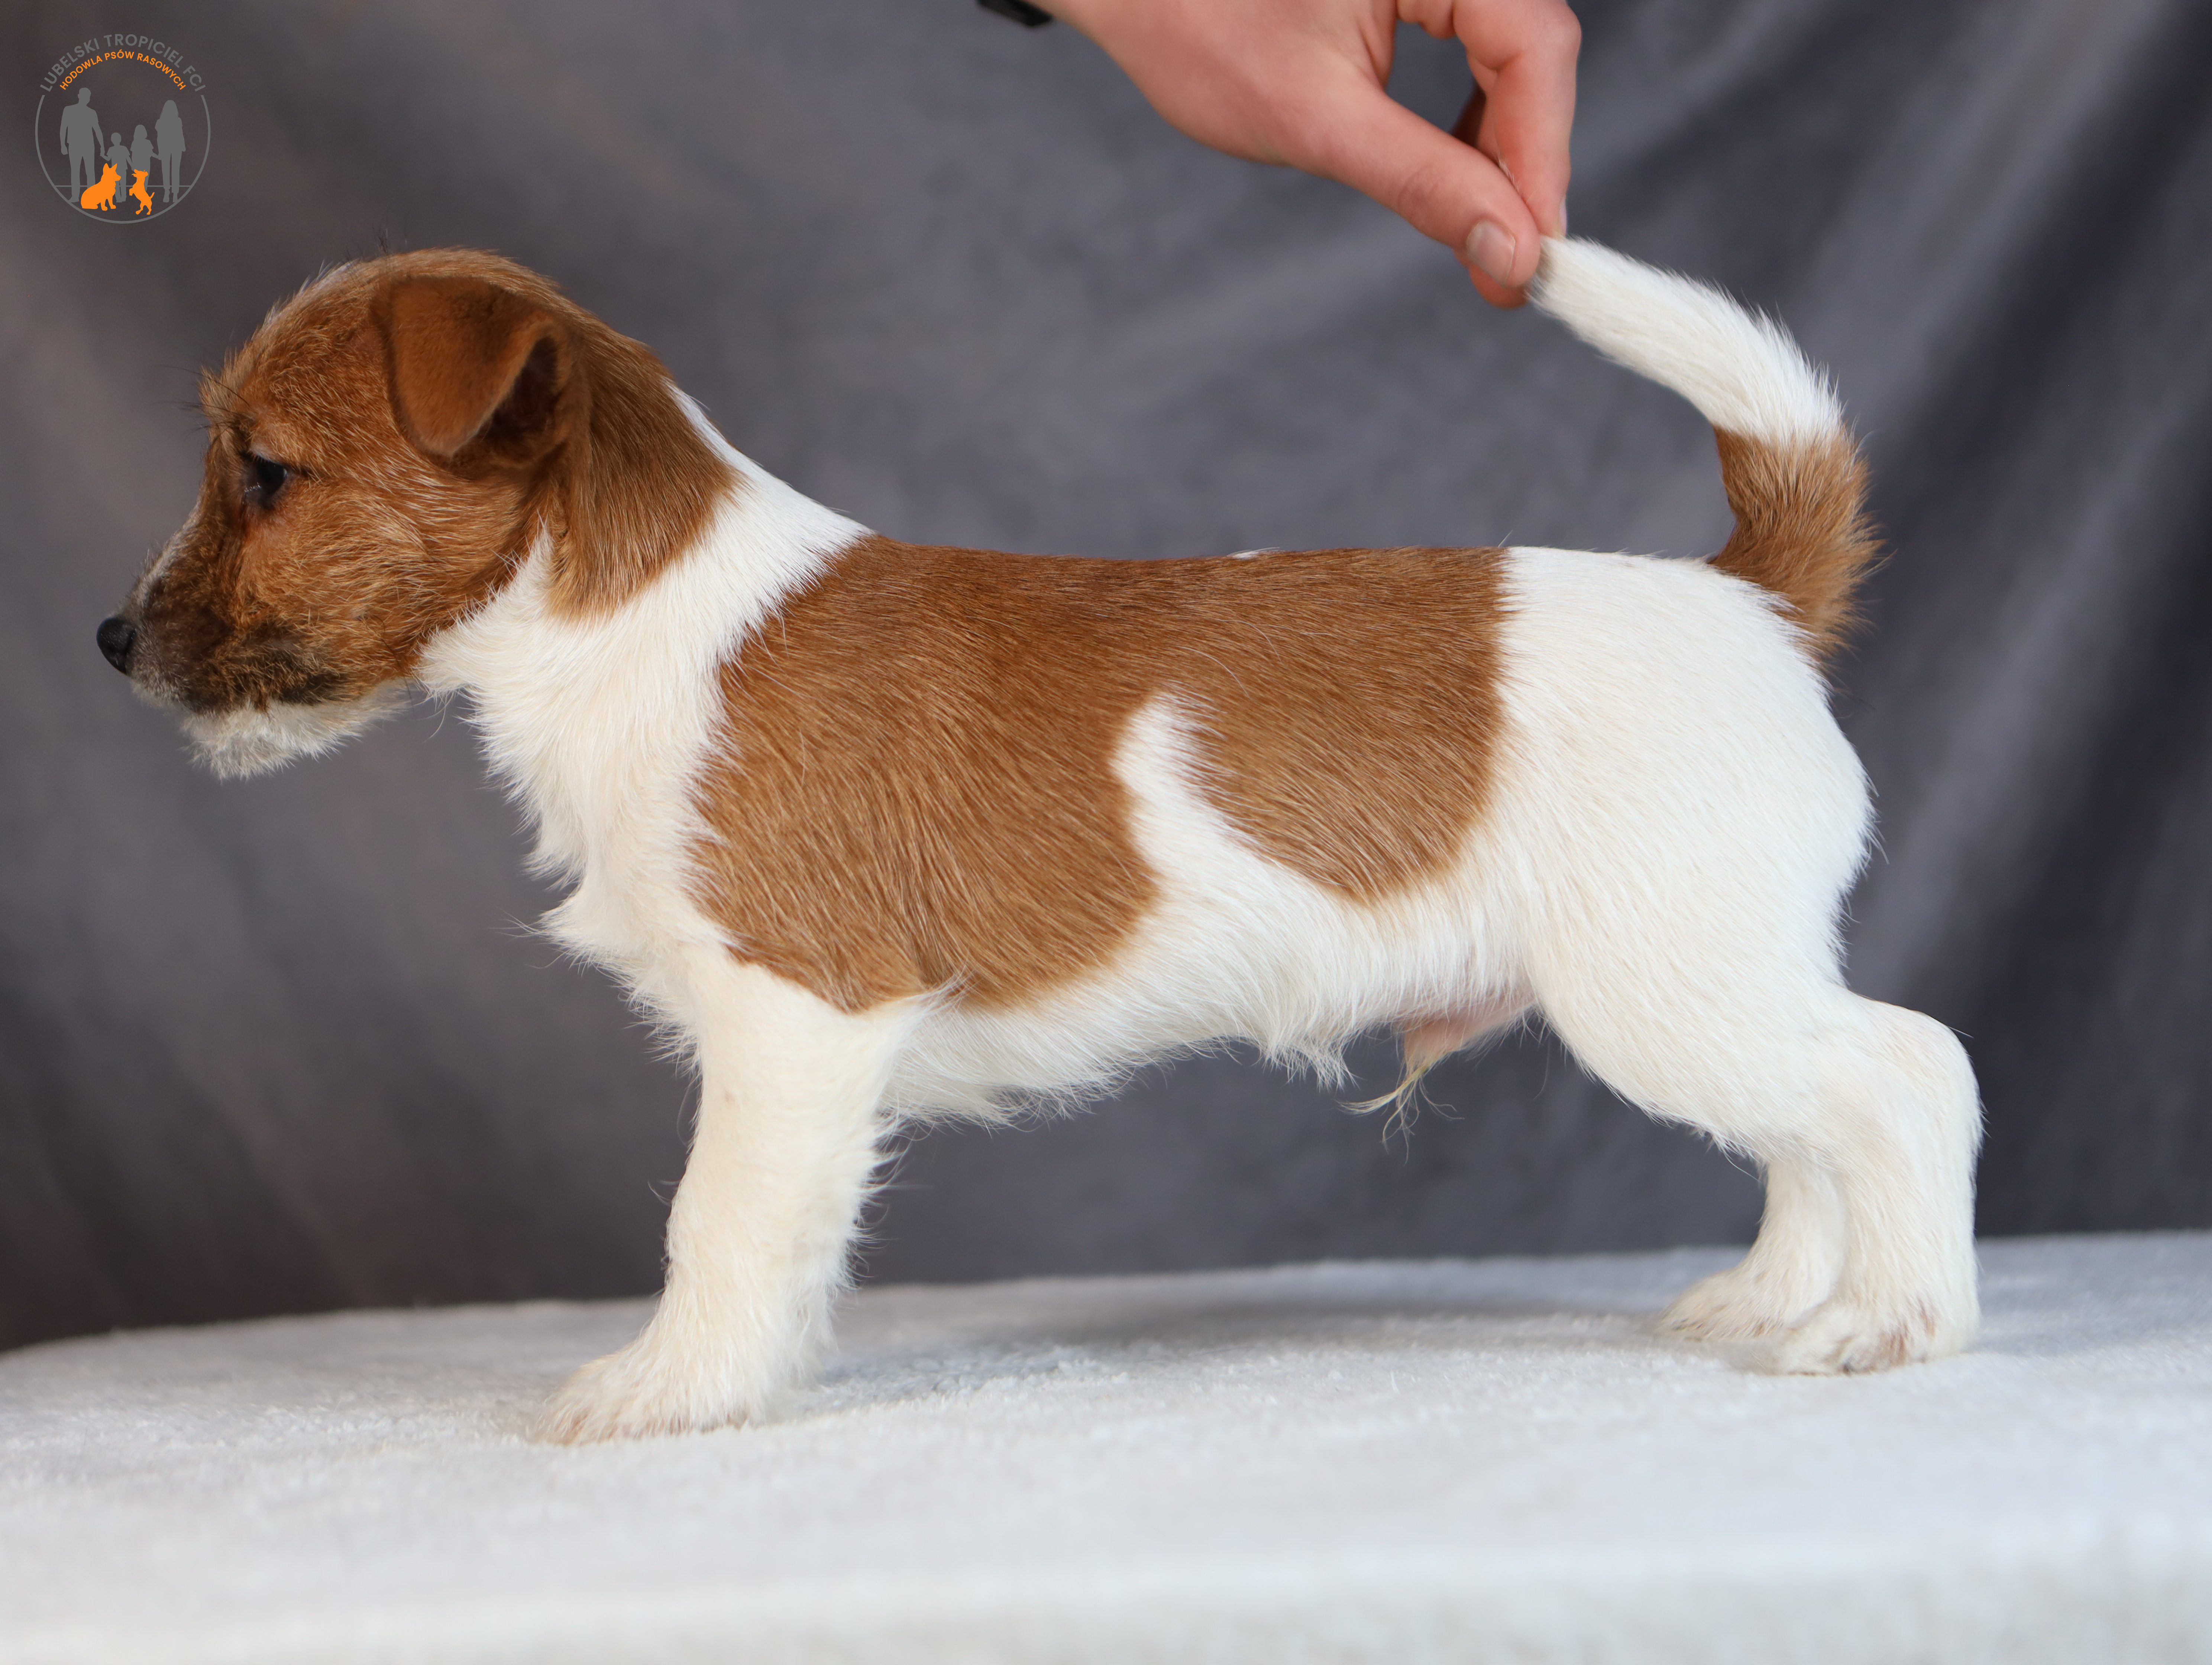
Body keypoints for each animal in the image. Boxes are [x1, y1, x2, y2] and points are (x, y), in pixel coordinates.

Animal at [97, 239, 1981, 1442]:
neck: (637, 614)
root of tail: (1750, 597)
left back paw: (1892, 1324)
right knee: (1813, 1123)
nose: (110, 642)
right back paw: (1781, 1298)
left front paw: (670, 1393)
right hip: (1715, 979)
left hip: (1667, 984)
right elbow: (779, 1234)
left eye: (265, 472)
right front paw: (745, 1377)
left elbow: (717, 1220)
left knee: (1902, 1077)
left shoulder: (796, 1015)